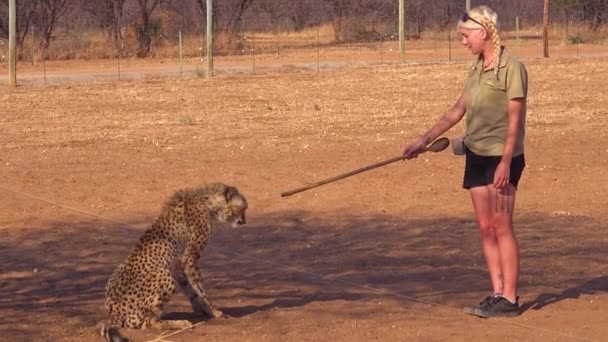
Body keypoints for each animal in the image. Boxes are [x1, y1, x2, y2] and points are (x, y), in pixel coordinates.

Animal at [100, 184, 247, 342]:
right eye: (243, 208)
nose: (244, 221)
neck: (206, 201)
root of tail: (113, 312)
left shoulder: (177, 265)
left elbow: (191, 288)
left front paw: (201, 309)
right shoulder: (189, 258)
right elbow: (200, 289)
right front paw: (214, 311)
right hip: (163, 275)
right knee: (149, 322)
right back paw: (180, 323)